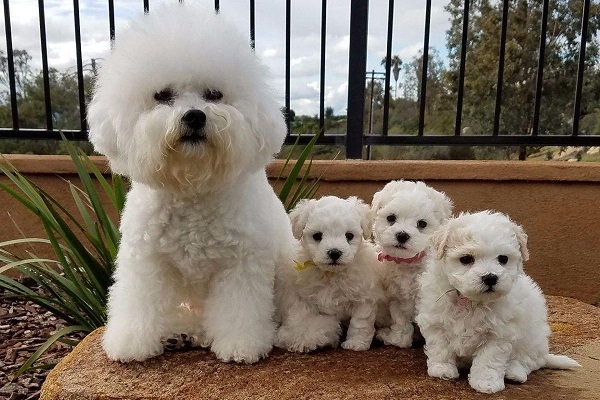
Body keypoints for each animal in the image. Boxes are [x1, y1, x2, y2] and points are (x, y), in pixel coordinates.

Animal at [88, 3, 294, 364]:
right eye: (162, 95)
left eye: (214, 94)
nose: (195, 116)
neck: (192, 186)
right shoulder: (147, 261)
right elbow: (138, 303)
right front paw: (131, 343)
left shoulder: (241, 266)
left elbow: (239, 310)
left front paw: (240, 345)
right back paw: (181, 333)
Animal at [276, 197, 382, 354]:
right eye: (317, 236)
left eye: (349, 235)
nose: (334, 252)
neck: (332, 275)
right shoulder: (310, 301)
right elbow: (311, 321)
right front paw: (305, 339)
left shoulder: (363, 298)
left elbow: (360, 323)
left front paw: (356, 343)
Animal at [370, 180, 454, 346]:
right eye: (391, 218)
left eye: (422, 224)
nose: (402, 235)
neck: (407, 262)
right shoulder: (396, 296)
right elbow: (400, 319)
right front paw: (398, 339)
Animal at [414, 211, 580, 392]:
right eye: (466, 259)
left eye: (503, 259)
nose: (490, 277)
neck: (471, 302)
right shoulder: (435, 322)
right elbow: (440, 347)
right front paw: (442, 369)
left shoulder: (499, 334)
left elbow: (489, 359)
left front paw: (486, 383)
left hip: (533, 338)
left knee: (528, 360)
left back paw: (514, 372)